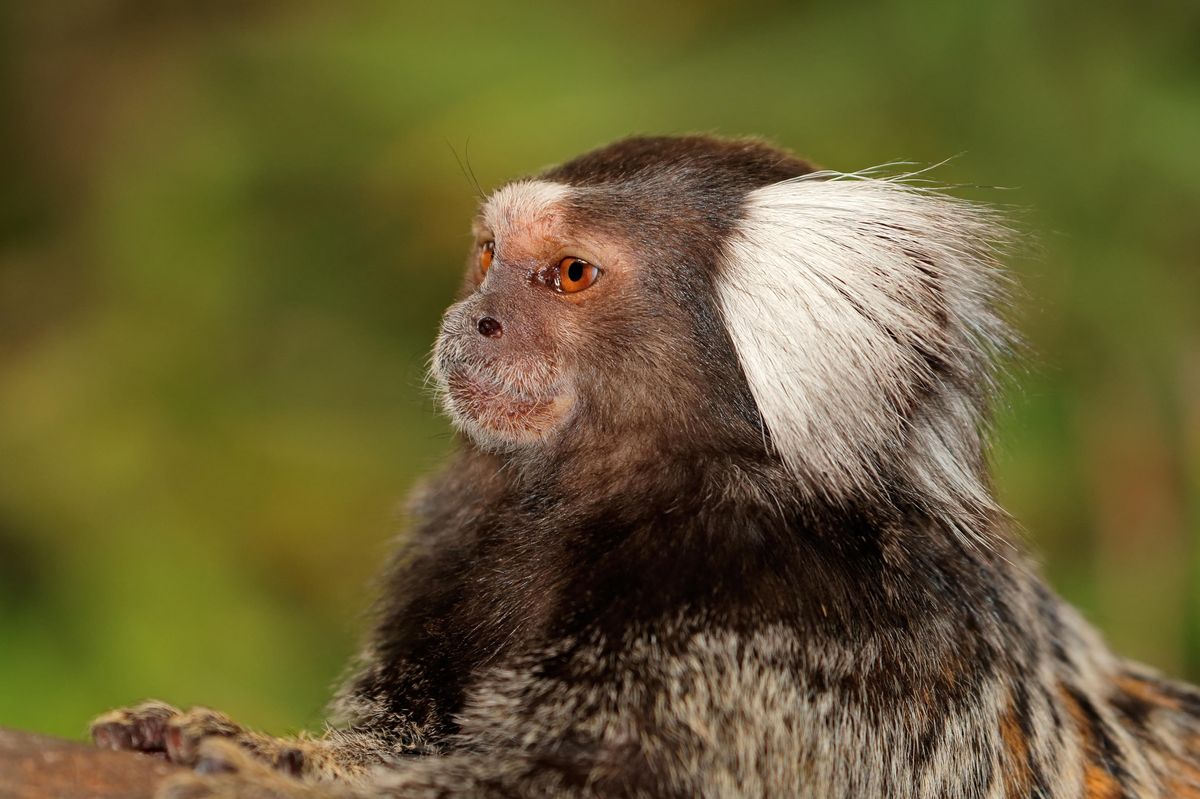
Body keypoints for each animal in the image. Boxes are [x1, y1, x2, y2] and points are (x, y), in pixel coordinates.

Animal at [90, 135, 1200, 798]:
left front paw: (262, 765)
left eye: (571, 274)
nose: (472, 318)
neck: (616, 496)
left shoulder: (813, 644)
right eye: (487, 254)